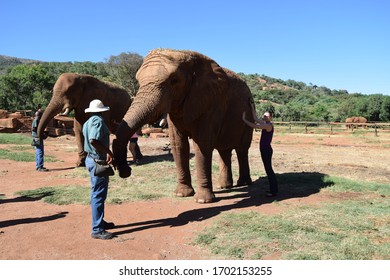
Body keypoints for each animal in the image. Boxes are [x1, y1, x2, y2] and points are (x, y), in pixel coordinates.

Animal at [113, 49, 253, 203]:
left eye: (174, 81)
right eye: (138, 81)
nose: (126, 171)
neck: (186, 54)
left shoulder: (213, 102)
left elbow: (202, 144)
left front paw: (202, 201)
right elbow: (178, 145)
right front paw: (182, 194)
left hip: (249, 115)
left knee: (241, 149)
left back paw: (243, 183)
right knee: (224, 150)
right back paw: (224, 186)